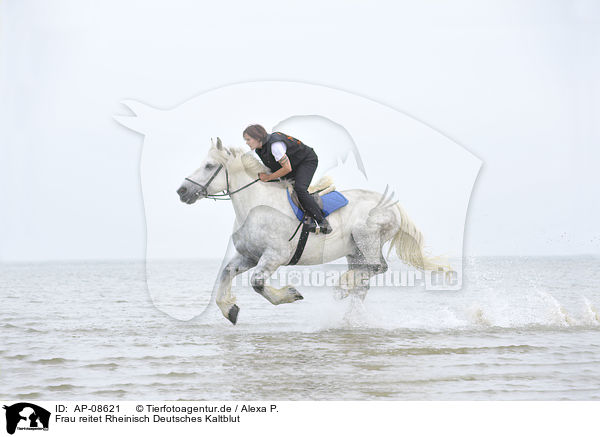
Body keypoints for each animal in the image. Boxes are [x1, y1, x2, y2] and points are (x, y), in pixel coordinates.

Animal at [176, 139, 438, 324]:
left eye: (209, 166)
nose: (182, 191)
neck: (256, 205)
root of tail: (392, 205)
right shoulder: (249, 256)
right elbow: (226, 273)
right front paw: (229, 309)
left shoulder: (275, 256)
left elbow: (257, 283)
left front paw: (290, 294)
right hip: (355, 250)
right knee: (364, 281)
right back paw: (349, 314)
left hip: (367, 238)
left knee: (377, 267)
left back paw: (342, 287)